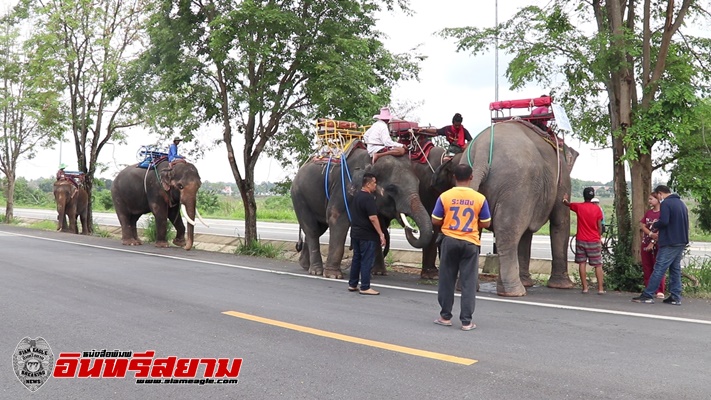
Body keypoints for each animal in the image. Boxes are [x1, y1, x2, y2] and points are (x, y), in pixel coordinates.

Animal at [290, 145, 434, 280]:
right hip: (299, 197)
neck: (371, 162)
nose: (413, 229)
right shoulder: (344, 188)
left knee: (318, 229)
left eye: (418, 184)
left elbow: (376, 226)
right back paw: (316, 271)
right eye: (392, 188)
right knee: (312, 230)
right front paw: (333, 275)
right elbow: (336, 218)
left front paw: (380, 273)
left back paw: (305, 265)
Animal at [454, 121, 580, 296]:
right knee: (508, 231)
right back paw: (515, 292)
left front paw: (528, 282)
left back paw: (467, 287)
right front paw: (563, 286)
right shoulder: (562, 180)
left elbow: (526, 234)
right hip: (516, 185)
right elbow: (560, 221)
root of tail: (481, 151)